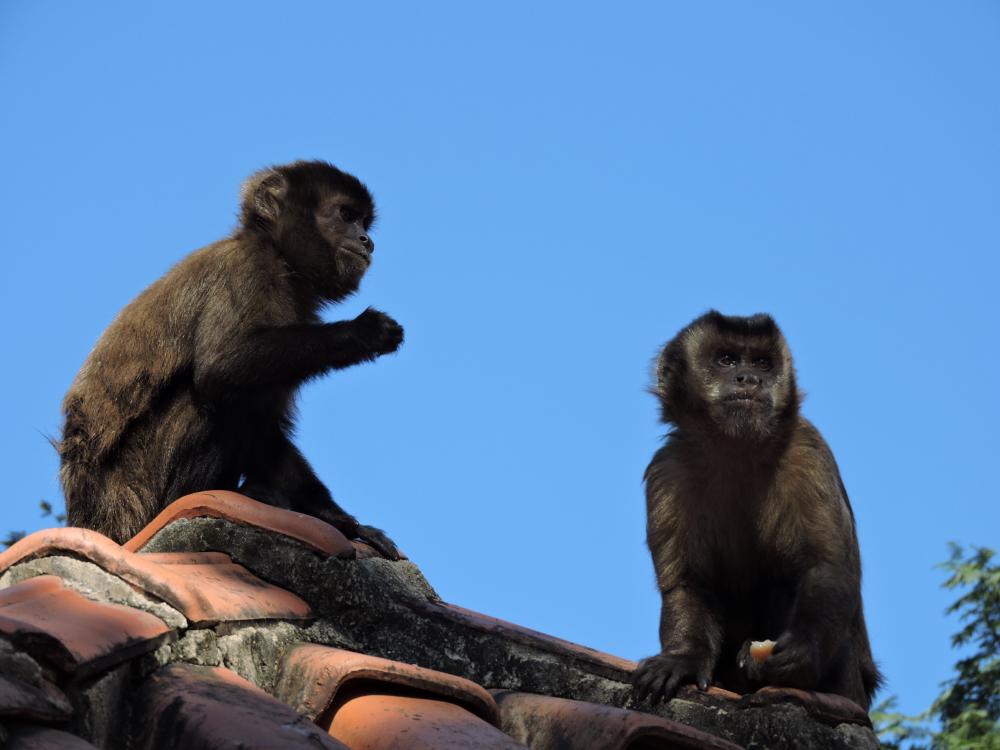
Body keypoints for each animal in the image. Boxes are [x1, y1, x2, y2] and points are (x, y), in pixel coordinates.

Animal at [59, 160, 403, 558]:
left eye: (364, 223)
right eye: (346, 215)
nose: (366, 240)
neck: (277, 256)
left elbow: (268, 427)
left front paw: (345, 523)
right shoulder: (248, 269)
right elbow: (221, 369)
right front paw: (362, 333)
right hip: (136, 494)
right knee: (213, 396)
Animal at [632, 311, 881, 709]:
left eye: (763, 363)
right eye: (727, 360)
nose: (749, 378)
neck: (736, 449)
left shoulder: (808, 448)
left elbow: (825, 566)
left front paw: (801, 653)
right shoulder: (667, 469)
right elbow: (689, 583)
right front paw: (682, 658)